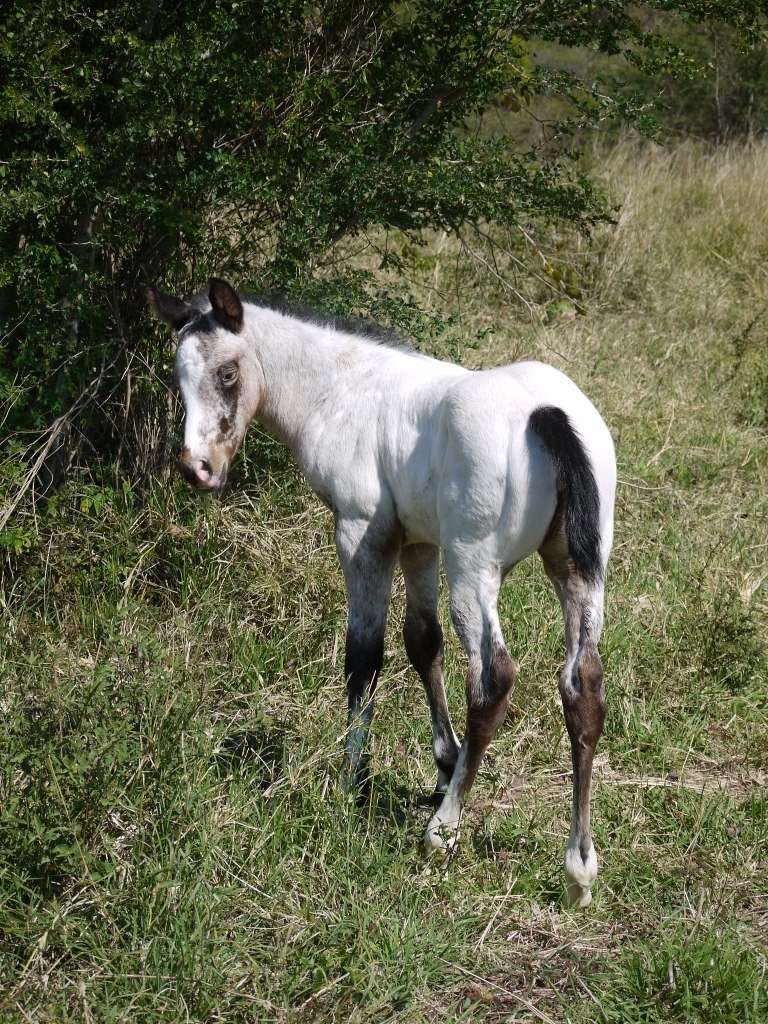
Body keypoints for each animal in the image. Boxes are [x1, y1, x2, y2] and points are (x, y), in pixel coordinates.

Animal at [150, 276, 618, 909]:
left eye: (227, 373)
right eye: (179, 378)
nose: (198, 468)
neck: (343, 389)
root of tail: (549, 413)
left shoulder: (362, 533)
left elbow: (365, 655)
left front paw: (354, 776)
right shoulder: (419, 542)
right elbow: (422, 642)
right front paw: (444, 762)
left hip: (475, 565)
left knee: (492, 680)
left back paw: (443, 831)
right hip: (576, 569)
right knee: (581, 686)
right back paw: (578, 868)